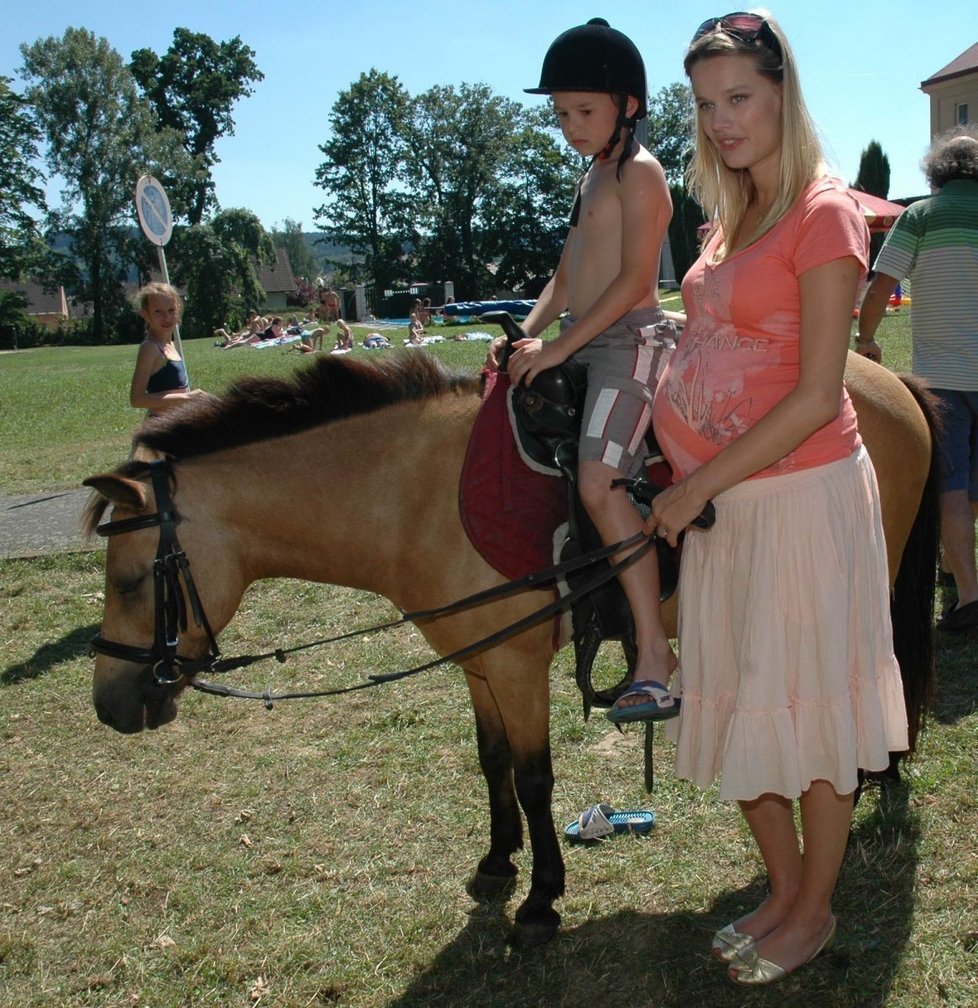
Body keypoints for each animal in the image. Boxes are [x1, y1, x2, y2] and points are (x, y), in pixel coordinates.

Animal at [83, 350, 939, 947]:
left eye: (126, 579)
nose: (110, 705)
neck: (413, 494)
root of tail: (889, 378)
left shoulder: (519, 665)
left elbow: (533, 779)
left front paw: (541, 899)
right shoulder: (480, 664)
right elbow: (491, 762)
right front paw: (499, 861)